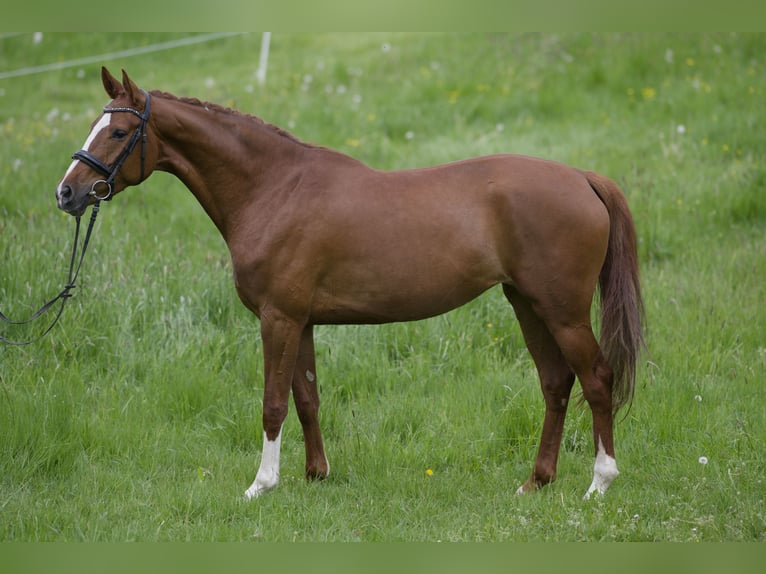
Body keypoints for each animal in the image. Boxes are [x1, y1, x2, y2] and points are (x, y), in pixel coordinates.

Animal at [56, 67, 644, 500]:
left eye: (118, 132)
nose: (67, 193)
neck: (274, 189)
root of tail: (582, 178)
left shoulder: (278, 318)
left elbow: (272, 402)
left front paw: (261, 485)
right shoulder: (301, 321)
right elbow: (306, 397)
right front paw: (317, 474)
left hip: (563, 312)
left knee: (596, 379)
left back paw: (599, 483)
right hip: (527, 304)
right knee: (555, 382)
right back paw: (536, 482)